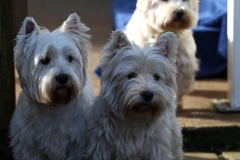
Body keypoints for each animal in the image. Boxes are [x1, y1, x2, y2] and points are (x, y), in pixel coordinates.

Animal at [9, 12, 92, 160]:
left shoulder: (78, 145)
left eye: (70, 58)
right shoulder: (28, 147)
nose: (63, 77)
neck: (55, 105)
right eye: (44, 60)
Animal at [82, 30, 182, 159]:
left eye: (156, 77)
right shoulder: (101, 149)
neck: (135, 119)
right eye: (131, 75)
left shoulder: (158, 150)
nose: (148, 94)